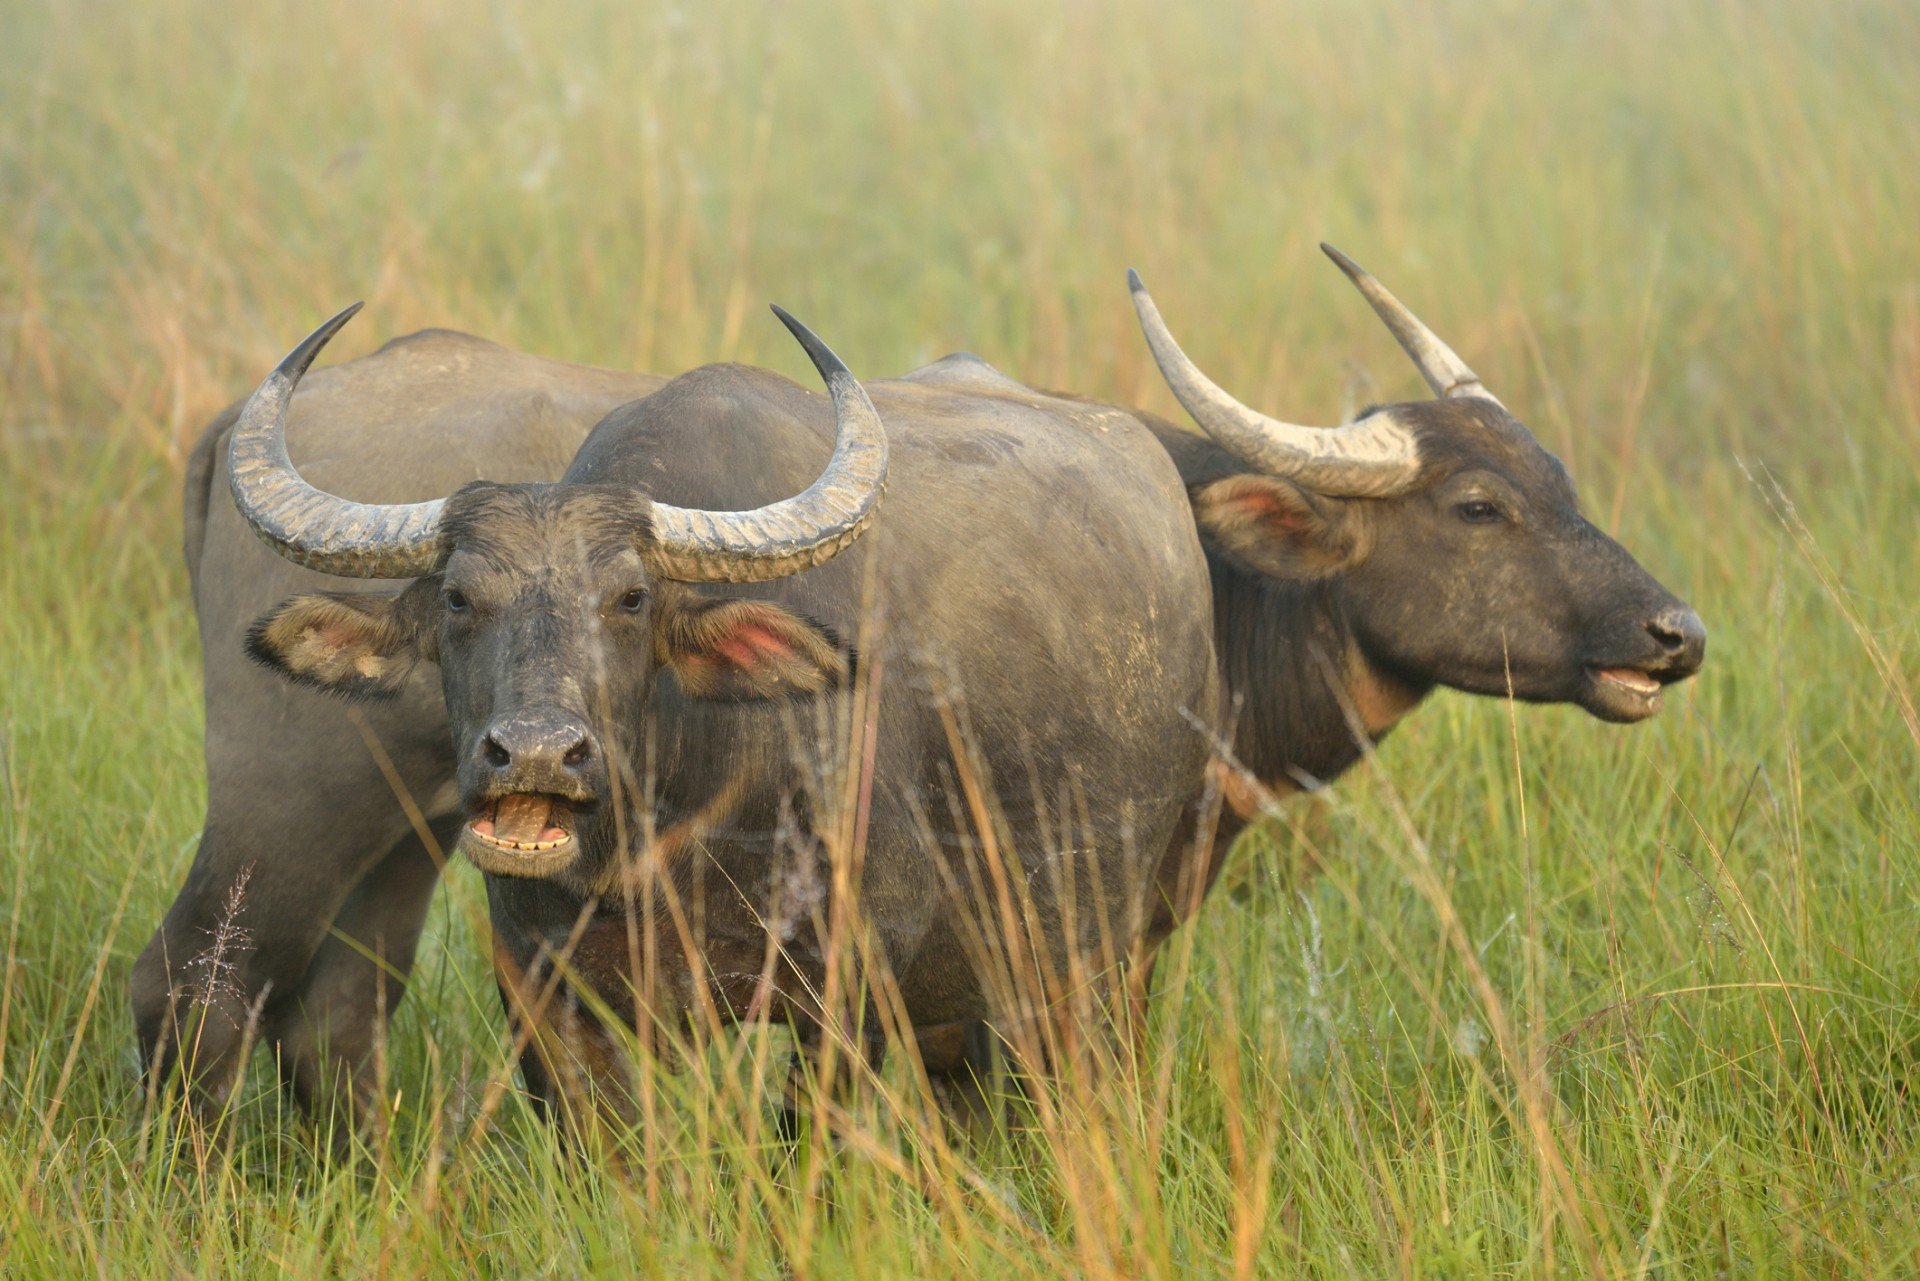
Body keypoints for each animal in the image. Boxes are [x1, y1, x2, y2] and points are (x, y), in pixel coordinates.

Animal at [135, 305, 1213, 1129]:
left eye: (631, 599)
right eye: (456, 598)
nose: (536, 755)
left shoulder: (855, 989)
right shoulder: (548, 990)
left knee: (332, 1003)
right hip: (290, 800)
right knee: (198, 980)